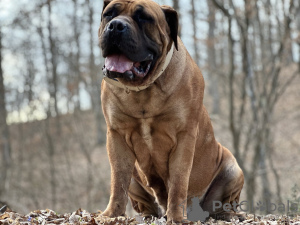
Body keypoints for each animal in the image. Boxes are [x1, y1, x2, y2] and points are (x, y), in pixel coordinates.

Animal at [98, 0, 244, 221]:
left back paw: (226, 214)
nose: (115, 26)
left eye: (144, 18)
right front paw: (112, 215)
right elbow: (118, 181)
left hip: (233, 169)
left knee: (224, 203)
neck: (144, 90)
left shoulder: (184, 136)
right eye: (109, 14)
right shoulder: (116, 136)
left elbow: (178, 181)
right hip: (136, 180)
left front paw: (176, 217)